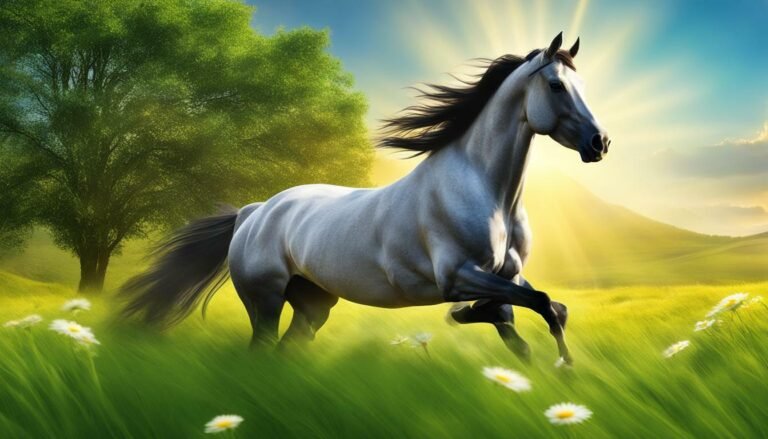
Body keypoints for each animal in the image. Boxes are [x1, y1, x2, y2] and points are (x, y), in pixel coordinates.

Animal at [120, 33, 610, 366]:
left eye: (582, 85)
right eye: (556, 86)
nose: (600, 143)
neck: (488, 193)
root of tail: (255, 211)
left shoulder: (507, 274)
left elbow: (542, 313)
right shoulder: (458, 275)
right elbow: (538, 304)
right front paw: (564, 365)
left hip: (312, 304)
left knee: (286, 348)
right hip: (265, 299)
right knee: (261, 347)